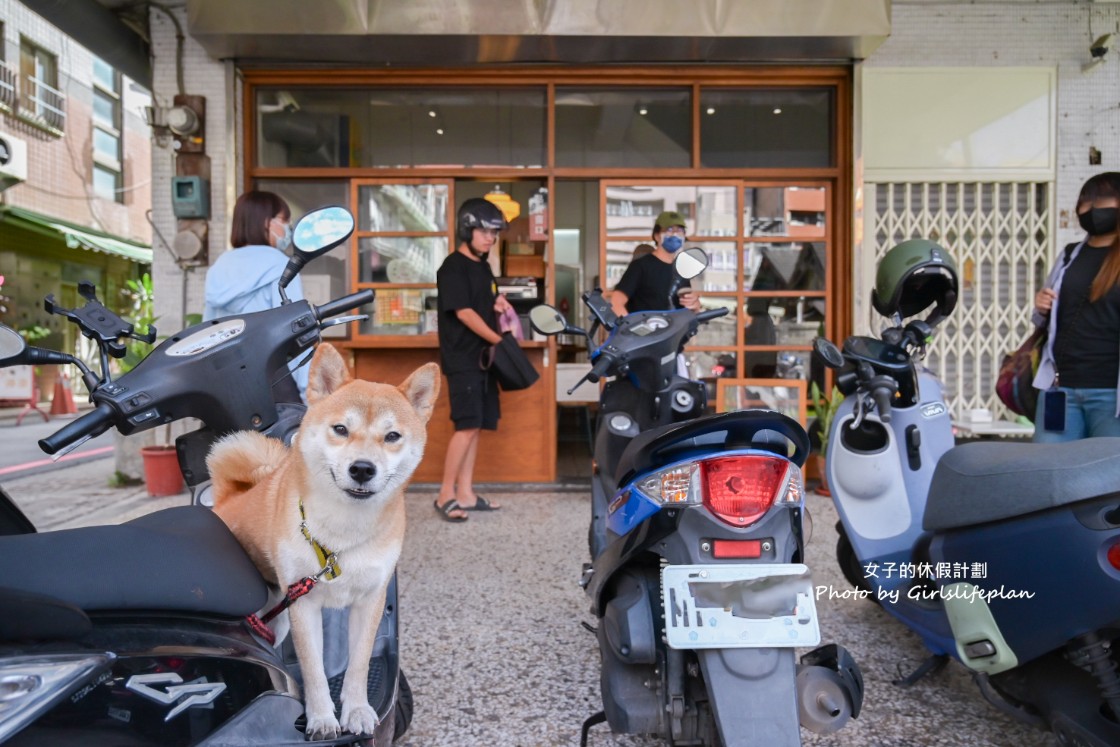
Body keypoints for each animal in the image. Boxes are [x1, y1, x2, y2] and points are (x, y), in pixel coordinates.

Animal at [208, 347, 439, 743]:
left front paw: (357, 711)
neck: (344, 535)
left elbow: (359, 665)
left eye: (392, 435)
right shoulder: (305, 606)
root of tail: (229, 496)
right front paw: (320, 719)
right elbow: (314, 671)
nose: (362, 468)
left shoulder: (369, 601)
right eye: (341, 429)